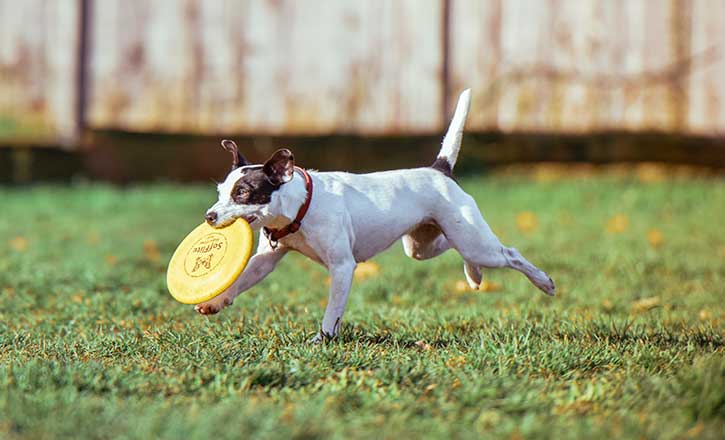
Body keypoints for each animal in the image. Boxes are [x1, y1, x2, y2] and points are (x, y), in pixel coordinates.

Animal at [195, 89, 552, 342]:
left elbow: (333, 310)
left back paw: (543, 282)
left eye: (242, 193)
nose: (209, 216)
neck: (300, 207)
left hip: (476, 243)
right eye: (220, 192)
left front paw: (322, 339)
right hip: (423, 245)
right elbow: (242, 279)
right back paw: (473, 275)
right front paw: (217, 301)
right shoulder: (265, 260)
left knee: (510, 254)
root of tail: (439, 170)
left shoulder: (342, 267)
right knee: (453, 247)